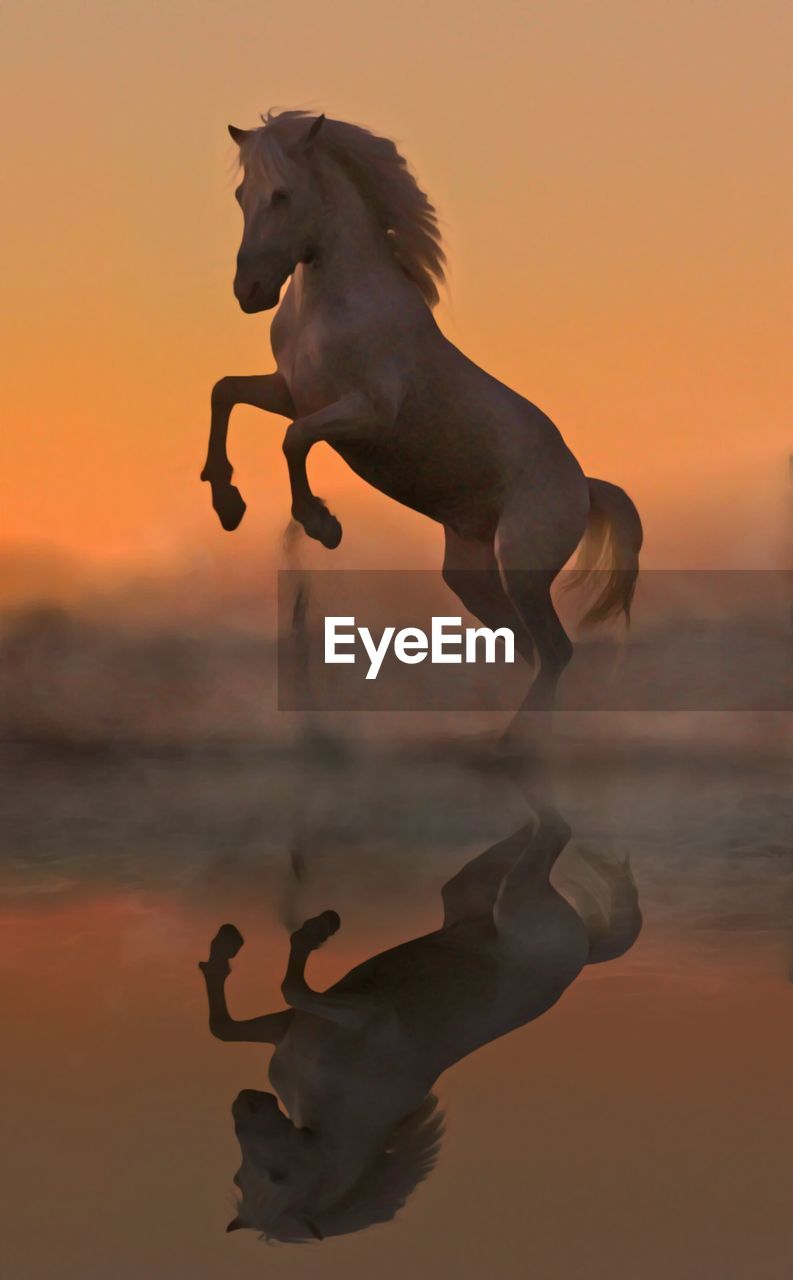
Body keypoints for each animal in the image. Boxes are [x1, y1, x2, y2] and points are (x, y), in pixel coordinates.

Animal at [199, 112, 644, 711]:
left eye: (283, 194)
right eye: (242, 194)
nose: (249, 291)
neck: (333, 305)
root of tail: (585, 486)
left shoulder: (367, 412)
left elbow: (295, 439)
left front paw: (322, 524)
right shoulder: (290, 392)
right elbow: (224, 392)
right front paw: (227, 504)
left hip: (523, 567)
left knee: (556, 652)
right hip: (473, 576)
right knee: (531, 651)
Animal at [199, 798, 644, 1239]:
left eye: (277, 1176)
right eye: (244, 1178)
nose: (245, 1102)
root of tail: (585, 951)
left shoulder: (359, 1014)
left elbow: (260, 1005)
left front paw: (302, 931)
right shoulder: (308, 1023)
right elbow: (238, 1020)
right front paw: (238, 945)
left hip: (506, 898)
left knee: (552, 828)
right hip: (491, 896)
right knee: (542, 836)